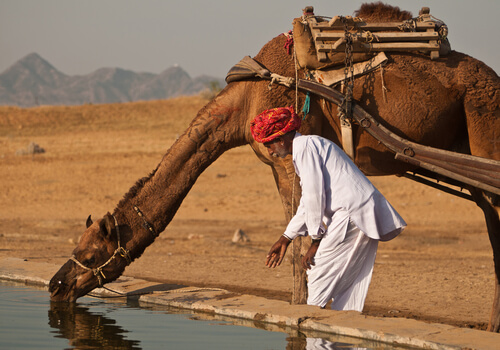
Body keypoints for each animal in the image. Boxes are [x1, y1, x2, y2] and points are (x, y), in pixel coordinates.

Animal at [49, 2, 500, 330]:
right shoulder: (275, 165)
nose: (56, 284)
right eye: (78, 246)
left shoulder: (294, 157)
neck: (244, 102)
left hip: (484, 128)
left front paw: (305, 310)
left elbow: (302, 242)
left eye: (90, 251)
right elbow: (293, 233)